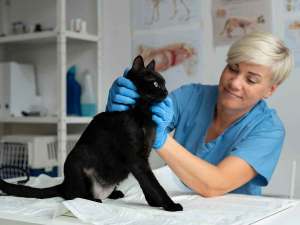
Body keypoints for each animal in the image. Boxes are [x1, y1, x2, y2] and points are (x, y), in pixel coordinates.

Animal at [0, 55, 183, 212]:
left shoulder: (143, 157)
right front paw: (169, 205)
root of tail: (64, 183)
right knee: (73, 196)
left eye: (164, 83)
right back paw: (94, 200)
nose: (166, 92)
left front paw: (154, 203)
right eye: (156, 84)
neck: (143, 113)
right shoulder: (137, 159)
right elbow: (153, 184)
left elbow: (147, 185)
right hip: (78, 159)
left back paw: (114, 194)